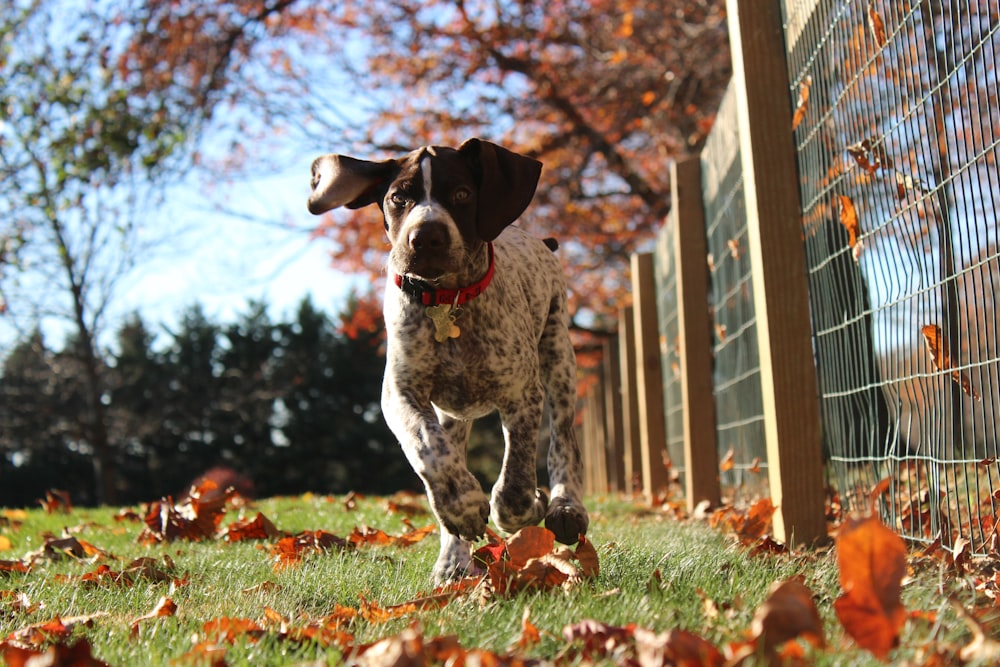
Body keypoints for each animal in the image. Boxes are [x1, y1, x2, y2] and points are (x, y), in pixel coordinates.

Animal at [304, 138, 584, 580]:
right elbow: (427, 448)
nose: (426, 237)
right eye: (398, 198)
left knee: (563, 441)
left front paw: (528, 505)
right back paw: (453, 560)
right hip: (454, 414)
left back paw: (566, 507)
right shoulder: (400, 394)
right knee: (447, 450)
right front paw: (462, 507)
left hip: (558, 358)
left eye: (462, 194)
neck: (446, 302)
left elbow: (516, 480)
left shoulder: (521, 394)